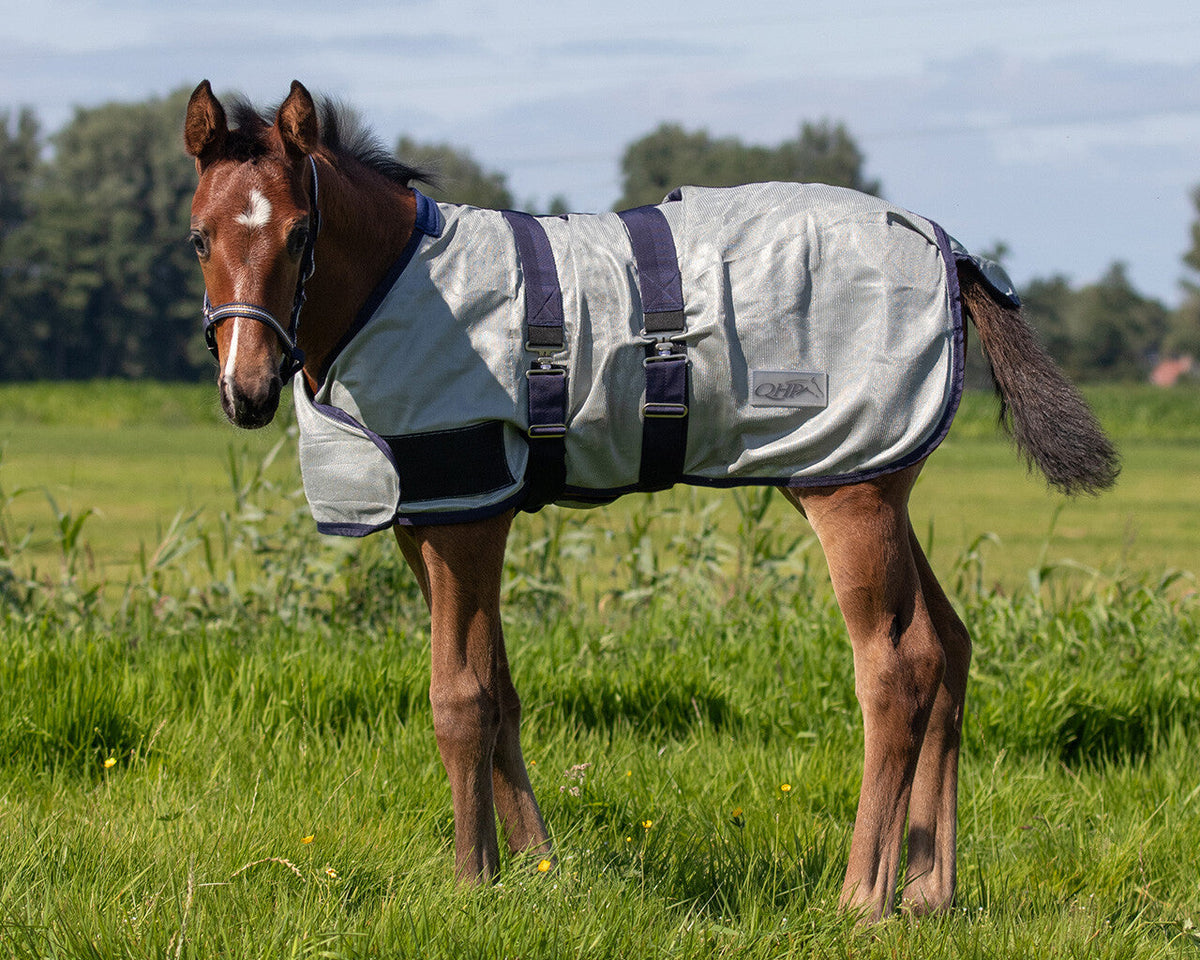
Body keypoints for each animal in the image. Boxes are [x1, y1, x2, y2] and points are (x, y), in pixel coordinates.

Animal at [183, 79, 1118, 921]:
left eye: (300, 233)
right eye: (198, 238)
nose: (246, 391)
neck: (401, 288)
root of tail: (946, 247)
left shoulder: (471, 520)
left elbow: (461, 700)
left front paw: (471, 881)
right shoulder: (429, 521)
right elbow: (500, 690)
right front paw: (537, 866)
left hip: (849, 494)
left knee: (898, 669)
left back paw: (863, 899)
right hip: (872, 473)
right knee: (949, 646)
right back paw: (927, 892)